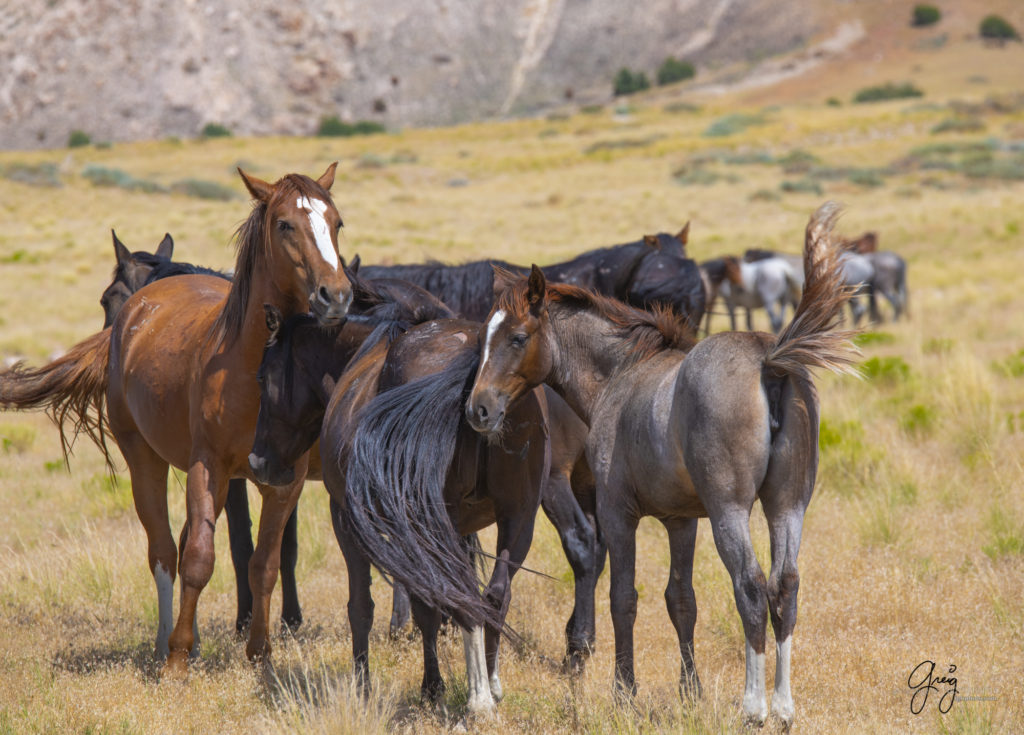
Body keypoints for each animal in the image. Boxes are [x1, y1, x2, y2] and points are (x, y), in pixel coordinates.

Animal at [464, 202, 856, 732]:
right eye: (485, 336)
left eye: (517, 337)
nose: (478, 409)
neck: (621, 374)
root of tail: (770, 360)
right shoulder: (681, 521)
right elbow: (681, 600)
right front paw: (690, 691)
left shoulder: (618, 514)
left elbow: (623, 598)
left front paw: (623, 691)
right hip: (786, 506)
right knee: (785, 587)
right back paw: (783, 708)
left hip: (731, 510)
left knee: (752, 588)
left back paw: (753, 707)